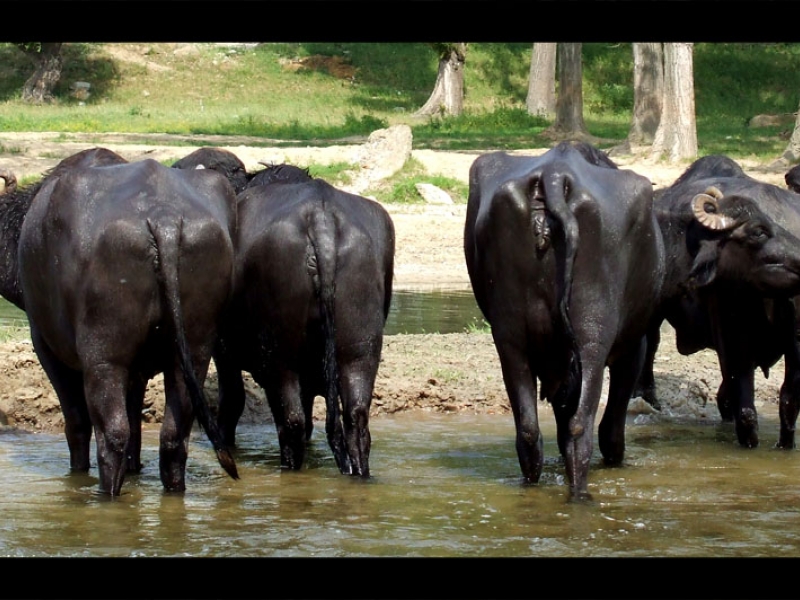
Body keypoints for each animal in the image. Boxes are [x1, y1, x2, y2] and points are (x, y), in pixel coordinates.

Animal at [0, 150, 238, 496]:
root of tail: (164, 217)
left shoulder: (44, 343)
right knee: (173, 437)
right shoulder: (138, 370)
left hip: (104, 359)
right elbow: (136, 419)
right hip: (192, 352)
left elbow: (78, 423)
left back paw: (105, 493)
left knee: (112, 434)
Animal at [214, 162, 396, 476]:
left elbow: (232, 401)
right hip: (360, 350)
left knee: (292, 422)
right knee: (355, 422)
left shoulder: (223, 353)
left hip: (280, 355)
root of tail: (321, 218)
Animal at [460, 143, 664, 500]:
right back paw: (580, 496)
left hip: (511, 337)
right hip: (592, 336)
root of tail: (554, 177)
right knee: (581, 426)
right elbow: (610, 425)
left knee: (529, 432)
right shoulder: (632, 348)